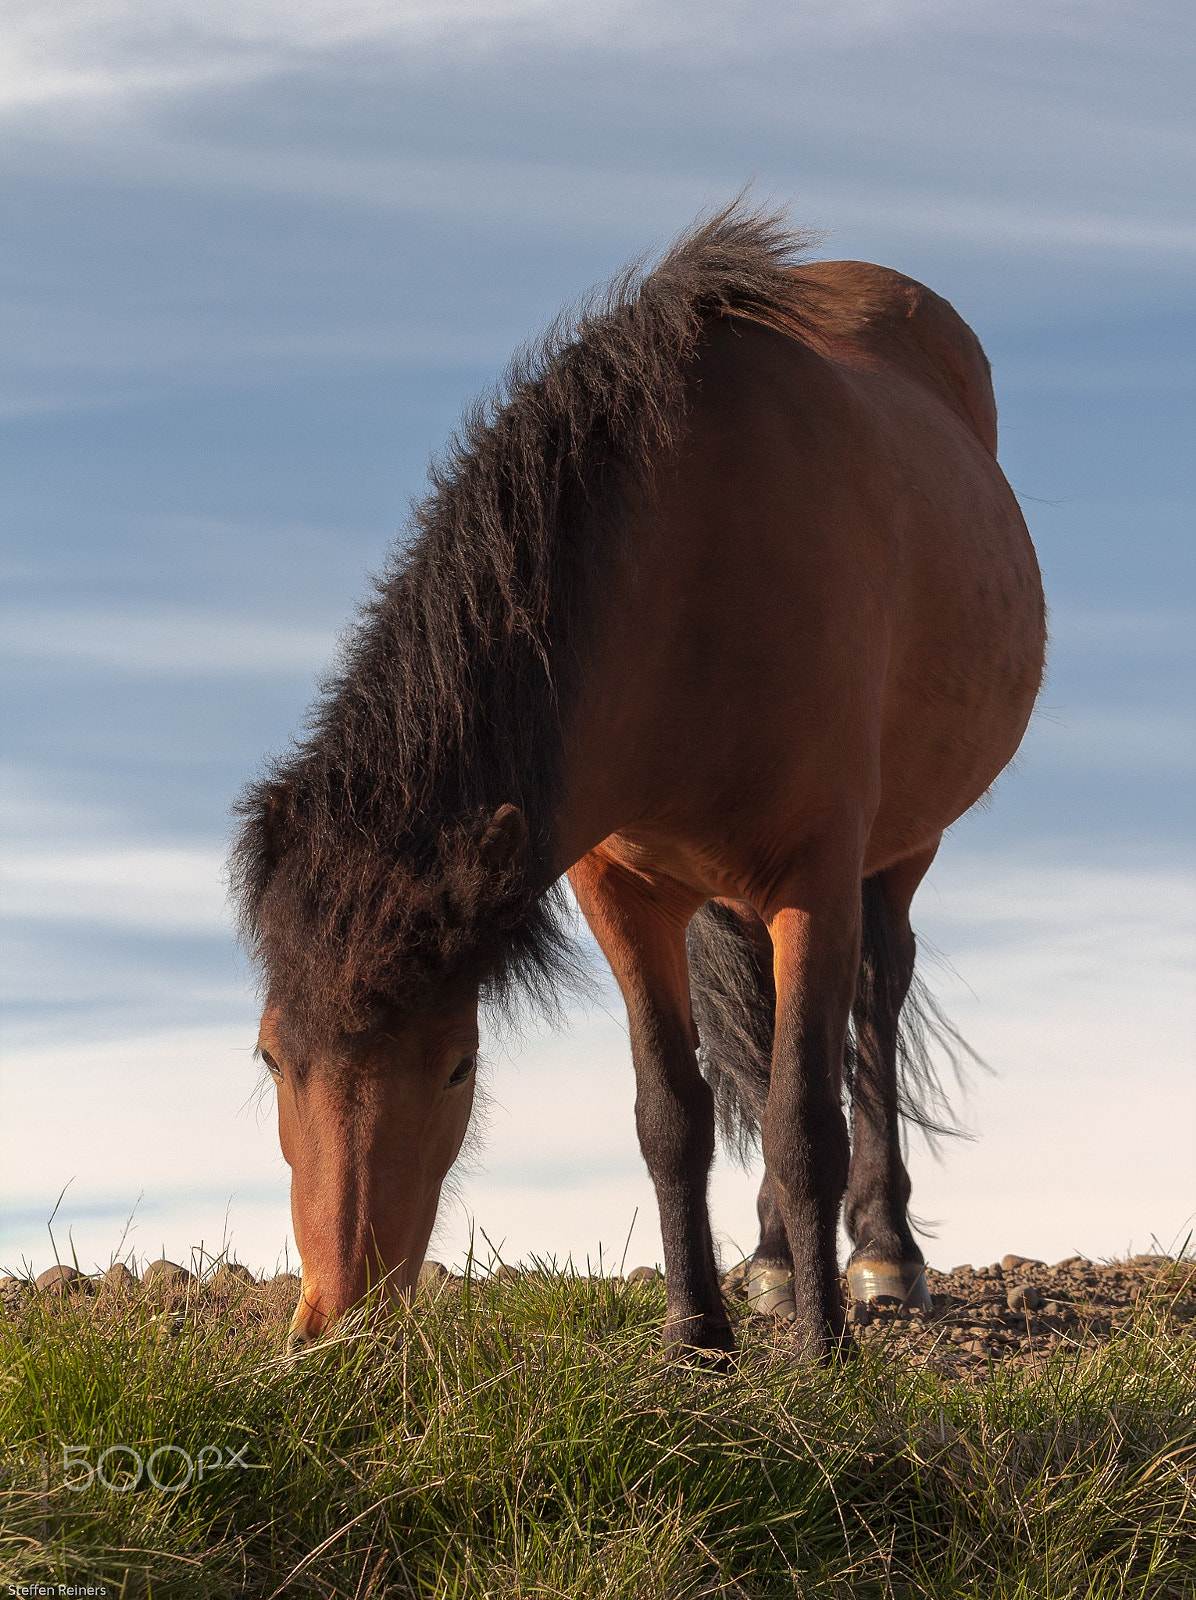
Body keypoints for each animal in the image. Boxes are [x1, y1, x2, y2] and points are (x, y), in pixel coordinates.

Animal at [228, 206, 1042, 1356]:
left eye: (457, 1065)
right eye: (270, 1059)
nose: (338, 1325)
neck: (689, 570)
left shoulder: (816, 876)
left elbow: (804, 1117)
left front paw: (824, 1355)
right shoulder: (618, 891)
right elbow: (672, 1115)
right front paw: (696, 1340)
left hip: (898, 852)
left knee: (873, 1016)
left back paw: (883, 1255)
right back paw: (773, 1261)